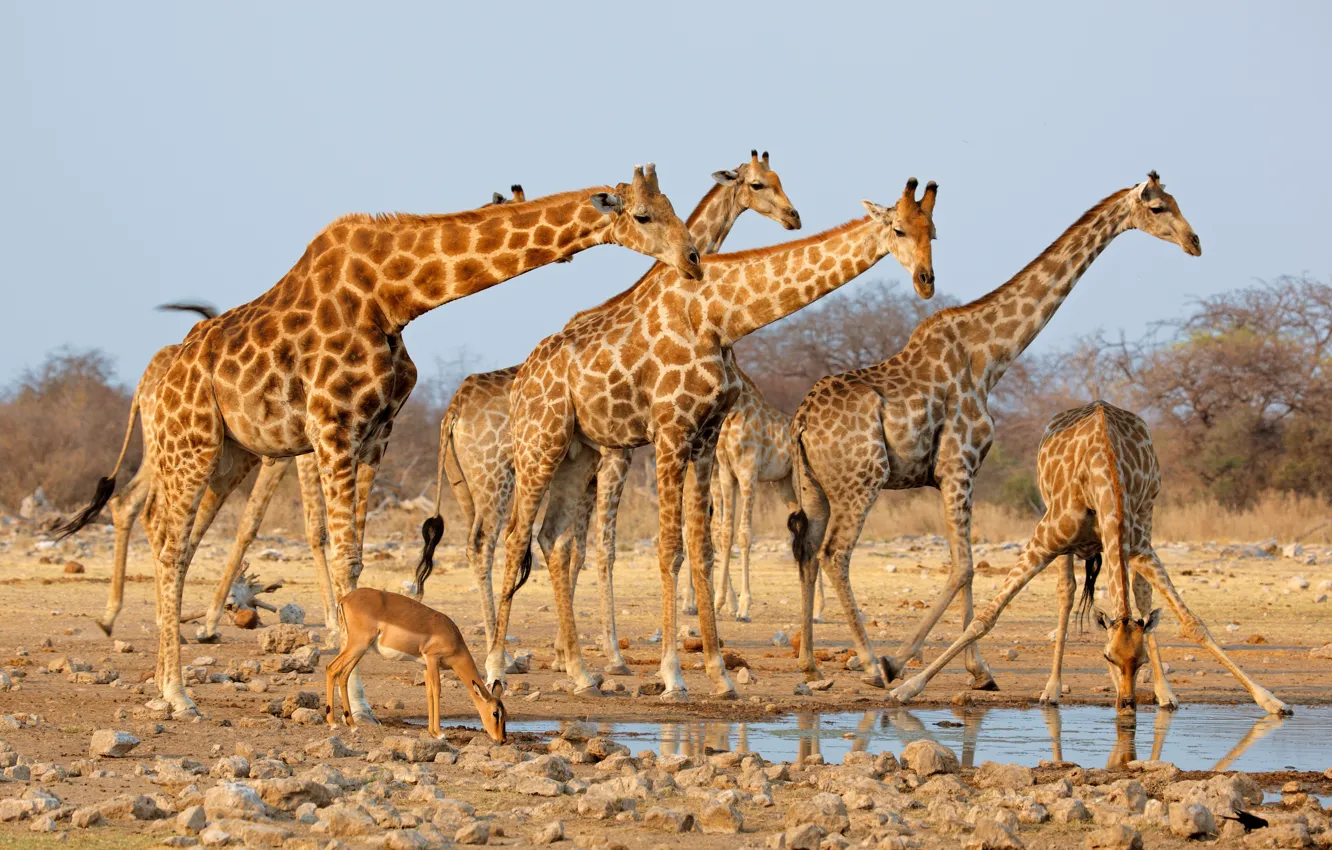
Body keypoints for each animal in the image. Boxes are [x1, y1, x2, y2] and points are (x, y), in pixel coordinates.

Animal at [99, 188, 530, 642]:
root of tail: (145, 383)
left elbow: (275, 523)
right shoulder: (311, 442)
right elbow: (296, 526)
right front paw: (330, 622)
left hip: (216, 452)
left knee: (148, 509)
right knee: (153, 513)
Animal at [420, 152, 802, 674]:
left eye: (781, 180)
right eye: (760, 184)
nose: (793, 217)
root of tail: (452, 412)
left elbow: (575, 549)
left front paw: (571, 653)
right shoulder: (616, 457)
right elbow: (599, 550)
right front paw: (609, 654)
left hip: (467, 486)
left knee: (478, 544)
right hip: (499, 476)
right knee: (489, 544)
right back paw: (499, 654)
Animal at [489, 177, 938, 700]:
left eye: (933, 231)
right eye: (898, 228)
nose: (926, 281)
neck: (719, 316)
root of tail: (521, 378)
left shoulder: (705, 439)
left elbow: (702, 547)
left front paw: (719, 674)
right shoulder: (670, 432)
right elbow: (670, 548)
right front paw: (672, 673)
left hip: (577, 452)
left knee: (555, 540)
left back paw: (582, 673)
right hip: (538, 442)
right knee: (516, 537)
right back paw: (497, 668)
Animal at [788, 172, 1201, 689]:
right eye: (1159, 208)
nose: (1194, 242)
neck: (988, 356)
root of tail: (801, 421)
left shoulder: (959, 474)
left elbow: (965, 566)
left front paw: (973, 669)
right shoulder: (957, 466)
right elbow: (964, 567)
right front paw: (909, 663)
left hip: (814, 486)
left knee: (807, 550)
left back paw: (808, 663)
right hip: (862, 481)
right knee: (835, 554)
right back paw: (867, 663)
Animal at [888, 401, 1290, 716]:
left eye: (1141, 661)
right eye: (1107, 657)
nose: (1128, 704)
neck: (1102, 477)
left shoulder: (1138, 545)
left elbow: (1192, 623)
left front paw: (1270, 700)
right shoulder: (1043, 540)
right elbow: (986, 617)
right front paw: (906, 687)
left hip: (1145, 518)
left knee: (1136, 596)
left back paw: (1164, 694)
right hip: (1060, 534)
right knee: (1067, 593)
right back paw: (1051, 690)